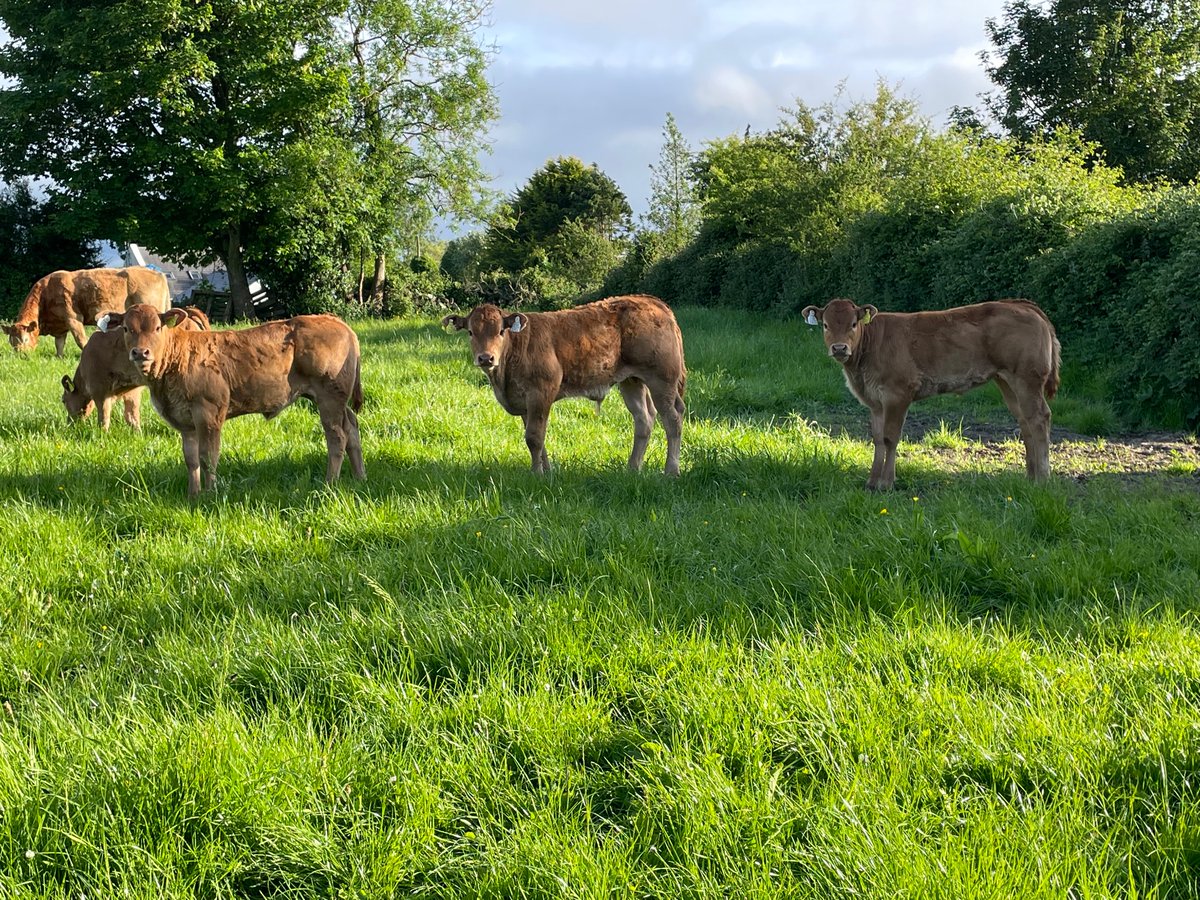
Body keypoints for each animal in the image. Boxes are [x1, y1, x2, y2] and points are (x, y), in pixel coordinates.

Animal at [4, 267, 171, 357]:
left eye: (25, 339)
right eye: (11, 342)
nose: (21, 355)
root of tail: (158, 273)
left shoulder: (73, 318)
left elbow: (81, 340)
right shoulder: (60, 327)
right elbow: (59, 344)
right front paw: (59, 357)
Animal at [61, 309, 210, 431]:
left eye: (63, 400)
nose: (69, 423)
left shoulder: (99, 389)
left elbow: (104, 416)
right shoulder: (131, 391)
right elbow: (131, 416)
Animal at [98, 304, 364, 497]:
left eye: (156, 328)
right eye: (126, 329)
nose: (140, 352)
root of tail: (334, 320)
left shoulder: (209, 413)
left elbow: (208, 457)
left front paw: (210, 493)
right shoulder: (185, 421)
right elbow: (191, 459)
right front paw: (193, 494)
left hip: (330, 398)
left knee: (337, 437)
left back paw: (330, 483)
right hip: (337, 401)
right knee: (352, 428)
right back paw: (360, 476)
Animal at [441, 294, 686, 475]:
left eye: (501, 331)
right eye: (471, 332)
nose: (486, 358)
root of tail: (652, 301)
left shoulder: (541, 393)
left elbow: (534, 437)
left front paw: (536, 474)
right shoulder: (524, 401)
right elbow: (537, 437)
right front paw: (547, 471)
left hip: (662, 379)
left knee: (672, 419)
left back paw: (671, 471)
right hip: (631, 380)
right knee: (644, 419)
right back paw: (632, 469)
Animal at [801, 298, 1061, 490]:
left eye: (854, 324)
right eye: (826, 325)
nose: (839, 348)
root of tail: (1023, 305)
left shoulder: (897, 394)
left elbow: (890, 437)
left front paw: (886, 483)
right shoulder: (875, 402)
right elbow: (877, 438)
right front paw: (872, 481)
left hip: (1027, 379)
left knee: (1039, 418)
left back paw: (1042, 478)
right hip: (1006, 380)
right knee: (1025, 421)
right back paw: (1029, 476)